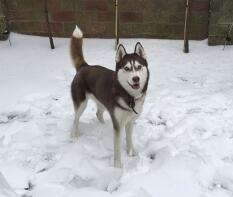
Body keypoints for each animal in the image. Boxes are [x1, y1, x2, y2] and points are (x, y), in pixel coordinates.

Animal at [70, 25, 149, 168]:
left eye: (139, 67)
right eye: (127, 68)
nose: (136, 79)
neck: (129, 97)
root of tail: (84, 66)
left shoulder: (130, 121)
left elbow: (129, 139)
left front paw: (131, 152)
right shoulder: (118, 124)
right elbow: (117, 147)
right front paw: (117, 165)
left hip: (102, 102)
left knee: (98, 113)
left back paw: (102, 126)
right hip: (81, 104)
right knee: (76, 118)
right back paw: (74, 135)